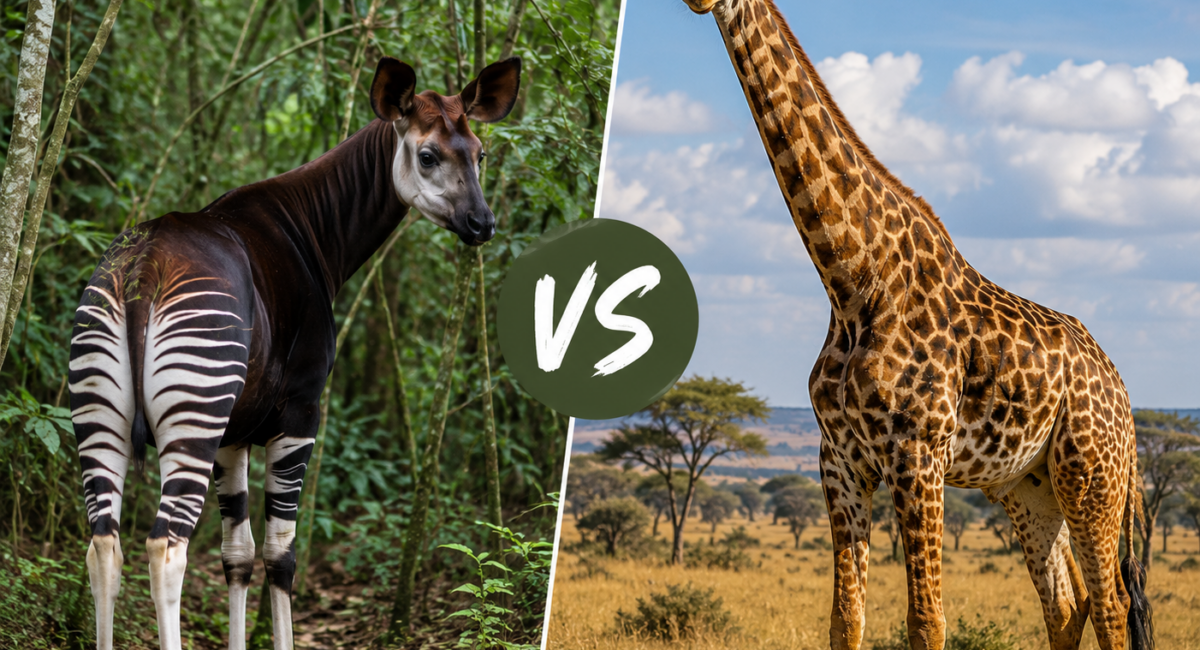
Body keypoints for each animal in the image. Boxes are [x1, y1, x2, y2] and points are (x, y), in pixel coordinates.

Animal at [677, 1, 1153, 649]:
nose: (695, 4)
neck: (853, 282)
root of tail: (1121, 391)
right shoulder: (840, 459)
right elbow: (845, 618)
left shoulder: (918, 453)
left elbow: (927, 621)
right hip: (1028, 486)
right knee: (1065, 603)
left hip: (1090, 476)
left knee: (1111, 604)